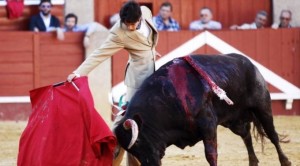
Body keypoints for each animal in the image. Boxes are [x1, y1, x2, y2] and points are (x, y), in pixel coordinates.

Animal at [113, 53, 292, 165]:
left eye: (138, 141)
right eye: (130, 150)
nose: (150, 164)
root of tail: (250, 64)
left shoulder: (208, 124)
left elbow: (211, 154)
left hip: (263, 107)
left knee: (272, 135)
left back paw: (285, 161)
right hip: (234, 121)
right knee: (246, 136)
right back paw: (253, 162)